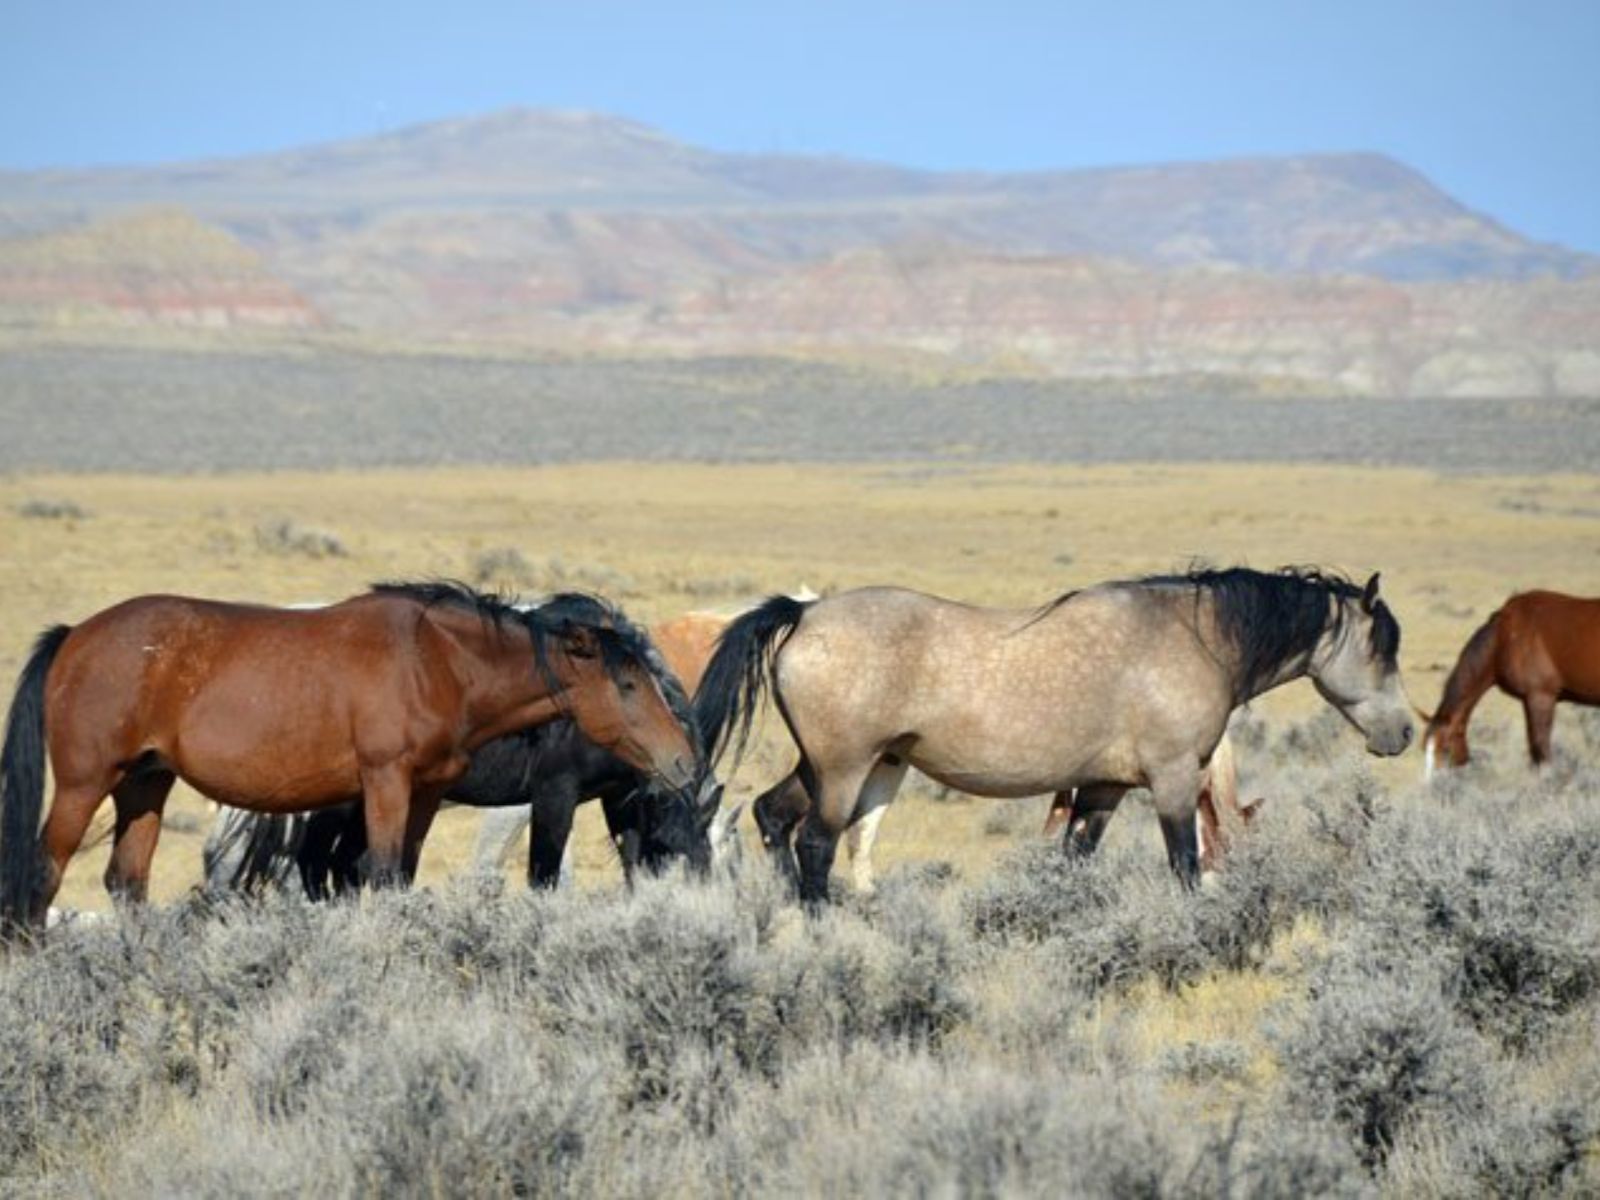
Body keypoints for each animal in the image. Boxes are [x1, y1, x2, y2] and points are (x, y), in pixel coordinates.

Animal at [0, 581, 701, 934]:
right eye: (628, 683)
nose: (683, 762)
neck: (436, 661)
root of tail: (75, 635)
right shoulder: (386, 782)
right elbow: (382, 874)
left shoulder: (423, 793)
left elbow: (396, 876)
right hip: (86, 784)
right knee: (42, 877)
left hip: (146, 783)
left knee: (127, 882)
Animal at [697, 567, 1412, 902]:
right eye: (1383, 646)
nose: (1404, 732)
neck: (1193, 637)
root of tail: (805, 613)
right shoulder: (1174, 780)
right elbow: (1186, 863)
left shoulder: (1102, 790)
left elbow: (1075, 863)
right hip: (845, 770)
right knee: (816, 842)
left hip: (826, 766)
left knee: (773, 815)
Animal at [1422, 590, 1600, 778]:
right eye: (1423, 748)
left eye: (1446, 749)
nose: (1433, 784)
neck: (1504, 637)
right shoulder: (1528, 701)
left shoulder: (1541, 698)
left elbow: (1541, 751)